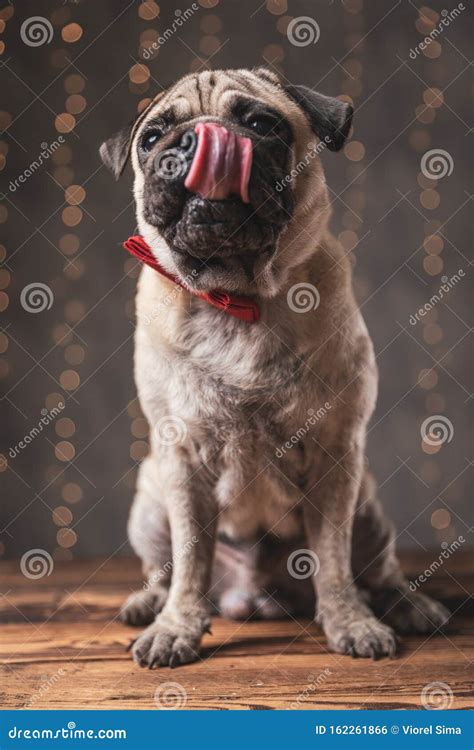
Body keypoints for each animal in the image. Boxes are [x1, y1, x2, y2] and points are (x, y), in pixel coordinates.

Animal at [100, 69, 448, 668]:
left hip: (368, 507)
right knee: (166, 571)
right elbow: (190, 562)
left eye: (262, 124)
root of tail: (253, 596)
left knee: (376, 571)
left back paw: (405, 605)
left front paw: (349, 622)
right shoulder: (182, 463)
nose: (197, 140)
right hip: (149, 503)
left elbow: (332, 559)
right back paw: (149, 604)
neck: (236, 298)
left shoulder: (335, 456)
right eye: (151, 139)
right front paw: (176, 629)